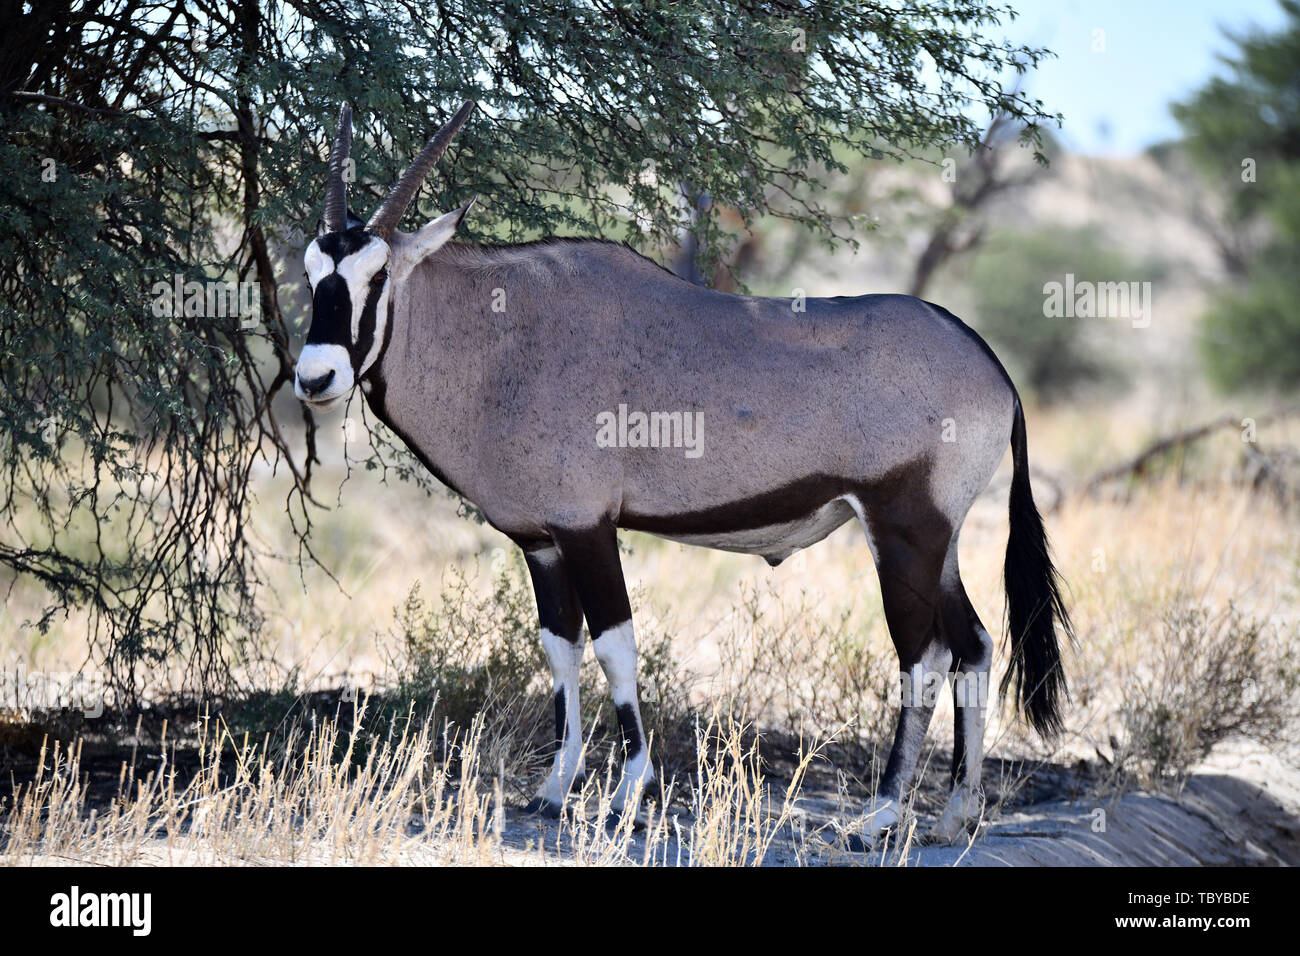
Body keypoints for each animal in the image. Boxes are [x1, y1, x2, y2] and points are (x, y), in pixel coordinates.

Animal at [297, 100, 1076, 842]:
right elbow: (560, 649)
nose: (314, 378)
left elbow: (615, 647)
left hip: (904, 529)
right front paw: (553, 790)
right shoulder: (541, 541)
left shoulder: (588, 528)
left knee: (925, 654)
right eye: (310, 274)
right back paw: (956, 814)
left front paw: (628, 795)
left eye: (376, 276)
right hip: (937, 541)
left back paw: (880, 815)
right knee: (974, 645)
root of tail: (988, 362)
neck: (499, 338)